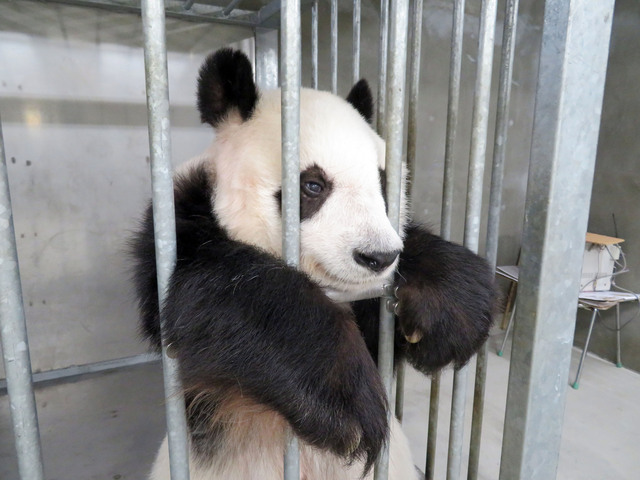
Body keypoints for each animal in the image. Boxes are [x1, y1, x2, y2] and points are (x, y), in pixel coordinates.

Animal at [131, 48, 496, 480]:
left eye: (383, 183)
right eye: (313, 186)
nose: (377, 257)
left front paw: (450, 309)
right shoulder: (176, 231)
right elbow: (219, 295)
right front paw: (344, 402)